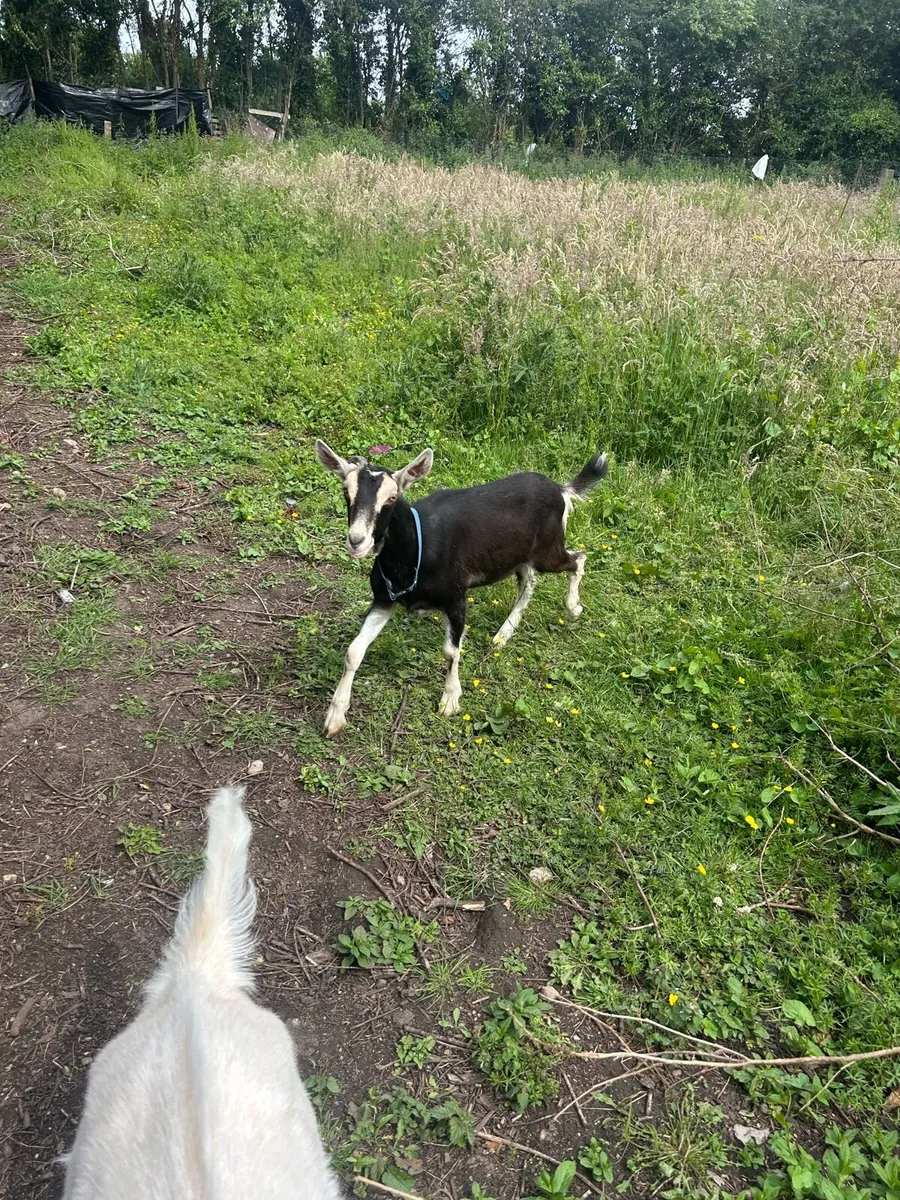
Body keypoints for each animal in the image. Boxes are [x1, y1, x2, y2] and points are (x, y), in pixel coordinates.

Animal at [315, 441, 608, 737]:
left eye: (392, 497)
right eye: (346, 491)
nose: (357, 541)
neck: (418, 549)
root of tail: (560, 488)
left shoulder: (456, 597)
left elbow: (450, 650)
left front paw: (450, 700)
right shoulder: (384, 600)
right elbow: (353, 652)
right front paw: (335, 717)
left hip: (548, 548)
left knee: (578, 558)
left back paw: (573, 608)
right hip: (521, 555)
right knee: (529, 580)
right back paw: (504, 634)